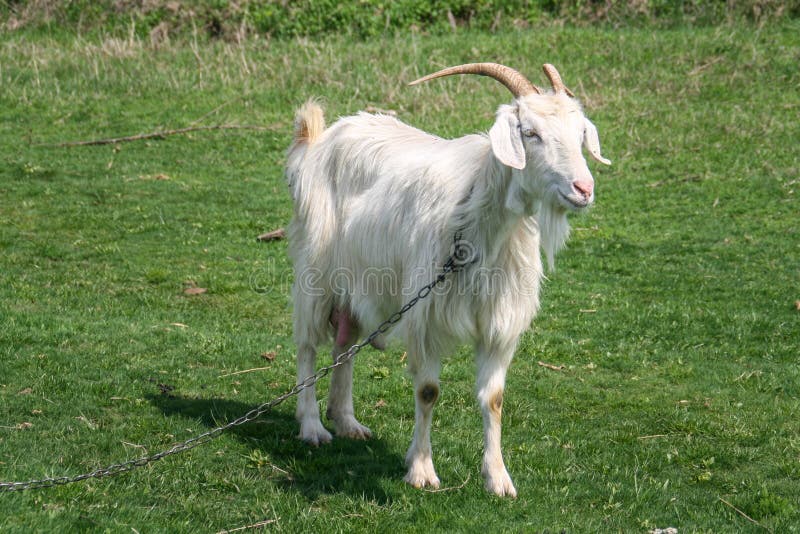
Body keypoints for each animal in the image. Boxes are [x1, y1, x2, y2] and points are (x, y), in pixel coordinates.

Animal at [284, 63, 610, 497]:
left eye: (580, 134)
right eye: (530, 133)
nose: (583, 189)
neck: (474, 221)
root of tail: (319, 139)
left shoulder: (499, 322)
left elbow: (494, 398)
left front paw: (498, 477)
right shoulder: (425, 316)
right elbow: (428, 391)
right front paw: (422, 470)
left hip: (359, 282)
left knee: (344, 344)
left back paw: (347, 420)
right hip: (316, 269)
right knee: (307, 345)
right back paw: (313, 426)